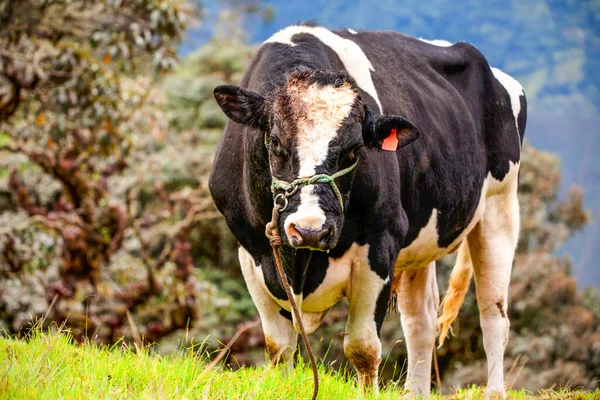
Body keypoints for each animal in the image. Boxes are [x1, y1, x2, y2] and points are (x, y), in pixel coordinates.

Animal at [210, 24, 524, 396]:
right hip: (420, 242)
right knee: (420, 321)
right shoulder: (253, 252)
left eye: (355, 149)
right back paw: (415, 393)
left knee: (493, 313)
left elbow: (362, 348)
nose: (311, 230)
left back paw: (495, 391)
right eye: (273, 141)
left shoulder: (380, 244)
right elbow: (279, 345)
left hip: (500, 208)